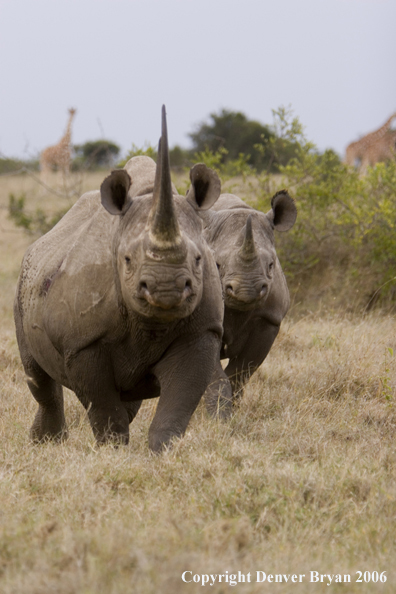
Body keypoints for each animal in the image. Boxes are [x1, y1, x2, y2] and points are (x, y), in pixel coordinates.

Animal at [13, 105, 224, 448]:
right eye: (126, 260)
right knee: (38, 377)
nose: (166, 289)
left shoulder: (202, 332)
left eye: (198, 260)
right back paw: (46, 443)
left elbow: (178, 403)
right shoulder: (82, 343)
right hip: (23, 284)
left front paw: (163, 451)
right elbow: (103, 406)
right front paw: (112, 450)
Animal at [201, 192, 296, 414]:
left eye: (271, 264)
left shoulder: (269, 319)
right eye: (217, 264)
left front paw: (230, 412)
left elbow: (240, 372)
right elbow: (216, 376)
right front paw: (217, 416)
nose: (246, 290)